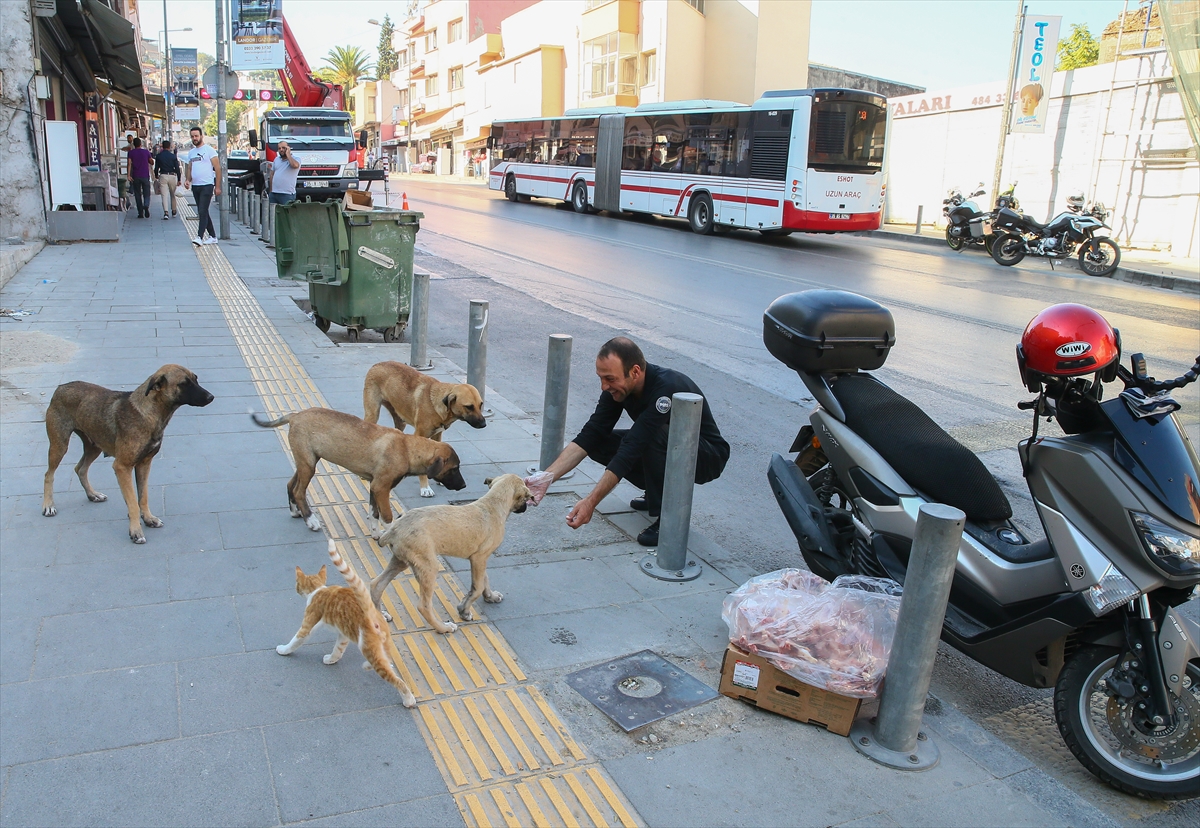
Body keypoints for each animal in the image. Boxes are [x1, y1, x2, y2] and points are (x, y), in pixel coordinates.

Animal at [41, 360, 216, 542]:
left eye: (196, 379)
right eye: (184, 384)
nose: (211, 397)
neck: (149, 412)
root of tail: (61, 387)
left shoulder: (144, 464)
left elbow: (142, 497)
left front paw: (148, 518)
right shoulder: (122, 467)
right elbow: (132, 502)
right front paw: (136, 530)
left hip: (94, 446)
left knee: (80, 468)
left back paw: (92, 494)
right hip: (59, 445)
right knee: (49, 474)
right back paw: (48, 505)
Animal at [250, 405, 465, 528]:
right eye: (454, 469)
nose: (463, 486)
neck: (406, 448)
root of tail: (295, 415)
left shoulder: (374, 486)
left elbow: (374, 513)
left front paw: (376, 534)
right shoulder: (381, 487)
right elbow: (387, 517)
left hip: (307, 460)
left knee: (291, 484)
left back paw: (295, 512)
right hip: (308, 465)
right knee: (299, 491)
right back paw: (310, 520)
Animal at [277, 537, 417, 705]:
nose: (296, 589)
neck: (318, 590)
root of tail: (371, 612)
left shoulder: (307, 625)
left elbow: (295, 640)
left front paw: (283, 649)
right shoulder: (343, 634)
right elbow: (338, 649)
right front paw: (331, 659)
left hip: (369, 649)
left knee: (396, 679)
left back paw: (408, 700)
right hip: (383, 644)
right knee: (387, 660)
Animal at [360, 360, 487, 496]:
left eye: (481, 405)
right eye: (469, 407)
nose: (484, 424)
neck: (436, 404)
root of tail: (378, 364)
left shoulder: (437, 436)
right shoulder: (420, 435)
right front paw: (425, 487)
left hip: (400, 420)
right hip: (372, 414)